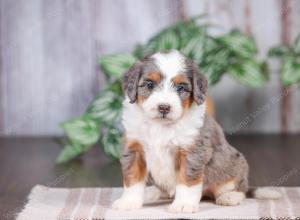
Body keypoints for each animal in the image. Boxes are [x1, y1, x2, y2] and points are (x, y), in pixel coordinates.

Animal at [112, 50, 282, 213]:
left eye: (180, 87)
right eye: (150, 85)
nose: (164, 107)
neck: (161, 126)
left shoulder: (192, 151)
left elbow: (187, 180)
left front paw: (183, 204)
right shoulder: (134, 148)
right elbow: (132, 178)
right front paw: (129, 202)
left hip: (235, 165)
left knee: (239, 188)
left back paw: (230, 196)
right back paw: (151, 193)